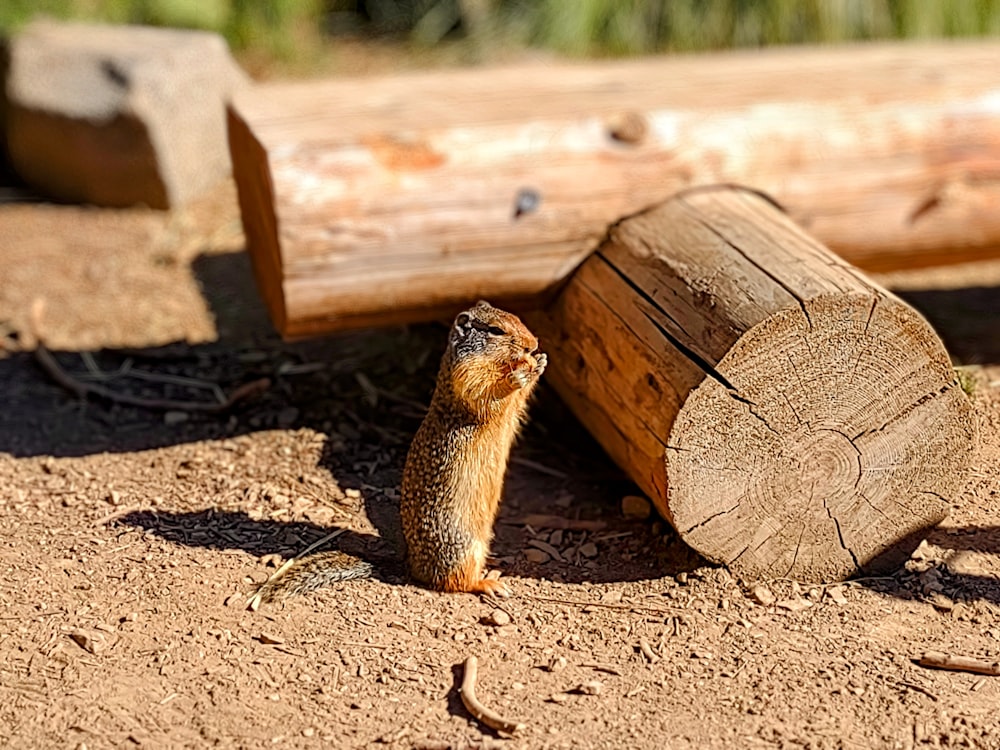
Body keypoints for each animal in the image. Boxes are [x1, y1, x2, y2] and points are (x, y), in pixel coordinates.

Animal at [250, 302, 548, 604]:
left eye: (518, 317)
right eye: (496, 330)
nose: (533, 343)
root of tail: (411, 565)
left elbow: (517, 401)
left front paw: (538, 362)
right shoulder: (466, 376)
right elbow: (486, 392)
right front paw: (521, 372)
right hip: (463, 548)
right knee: (453, 582)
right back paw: (487, 583)